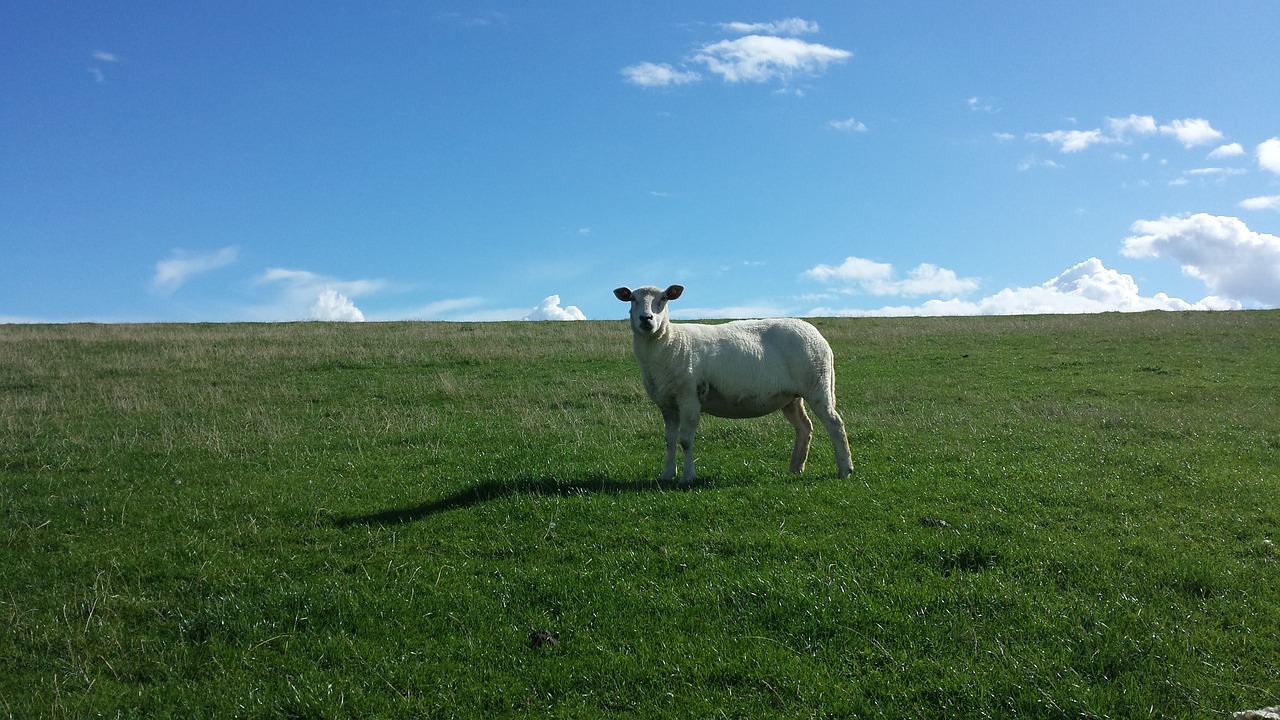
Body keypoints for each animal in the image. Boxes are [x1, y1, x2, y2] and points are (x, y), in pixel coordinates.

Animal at [614, 281, 855, 481]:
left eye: (663, 298)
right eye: (633, 299)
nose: (646, 319)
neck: (670, 342)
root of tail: (817, 334)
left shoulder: (689, 398)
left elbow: (686, 440)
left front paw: (688, 477)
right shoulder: (667, 403)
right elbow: (670, 440)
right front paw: (666, 475)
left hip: (817, 384)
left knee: (835, 424)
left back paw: (845, 469)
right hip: (791, 397)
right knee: (804, 428)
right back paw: (796, 468)